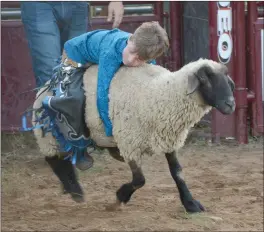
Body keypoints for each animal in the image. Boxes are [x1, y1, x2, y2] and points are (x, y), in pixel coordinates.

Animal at [31, 57, 235, 212]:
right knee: (53, 159)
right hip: (49, 136)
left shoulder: (168, 137)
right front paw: (119, 197)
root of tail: (46, 85)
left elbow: (178, 173)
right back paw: (75, 190)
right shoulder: (130, 142)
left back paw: (71, 186)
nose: (231, 104)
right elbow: (140, 180)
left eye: (227, 80)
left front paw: (191, 204)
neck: (161, 93)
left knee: (65, 159)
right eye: (206, 79)